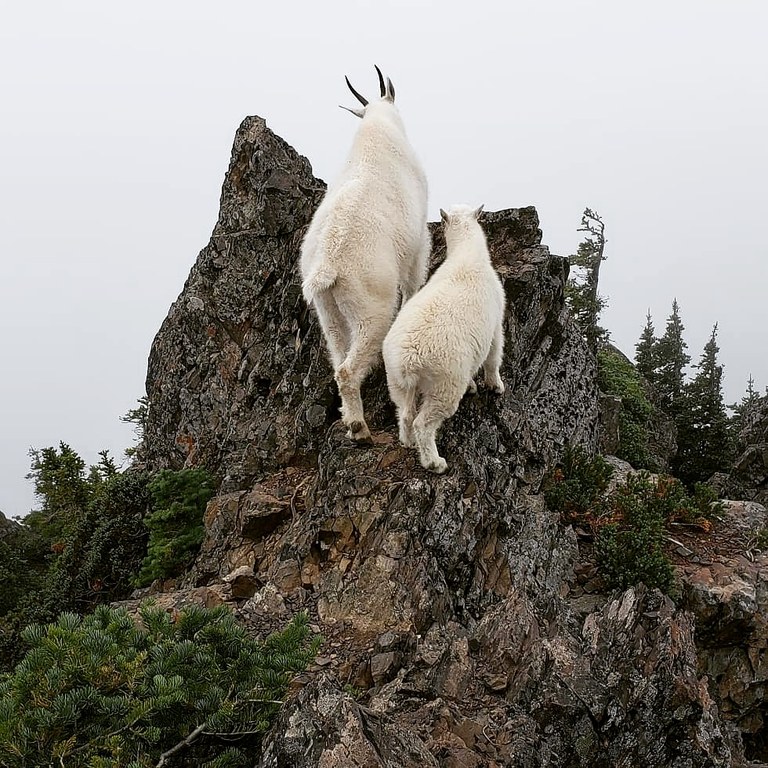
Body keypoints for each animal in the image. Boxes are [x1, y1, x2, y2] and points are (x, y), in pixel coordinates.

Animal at [300, 66, 430, 442]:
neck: (378, 128)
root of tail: (328, 265)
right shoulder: (418, 240)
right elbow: (414, 279)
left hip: (329, 314)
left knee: (337, 356)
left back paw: (347, 420)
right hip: (371, 308)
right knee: (347, 368)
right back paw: (360, 430)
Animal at [382, 204, 505, 473]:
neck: (467, 257)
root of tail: (409, 360)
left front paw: (473, 385)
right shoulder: (496, 318)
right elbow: (494, 354)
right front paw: (496, 386)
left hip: (395, 378)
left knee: (404, 411)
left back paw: (407, 442)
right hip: (444, 379)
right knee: (426, 420)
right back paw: (434, 462)